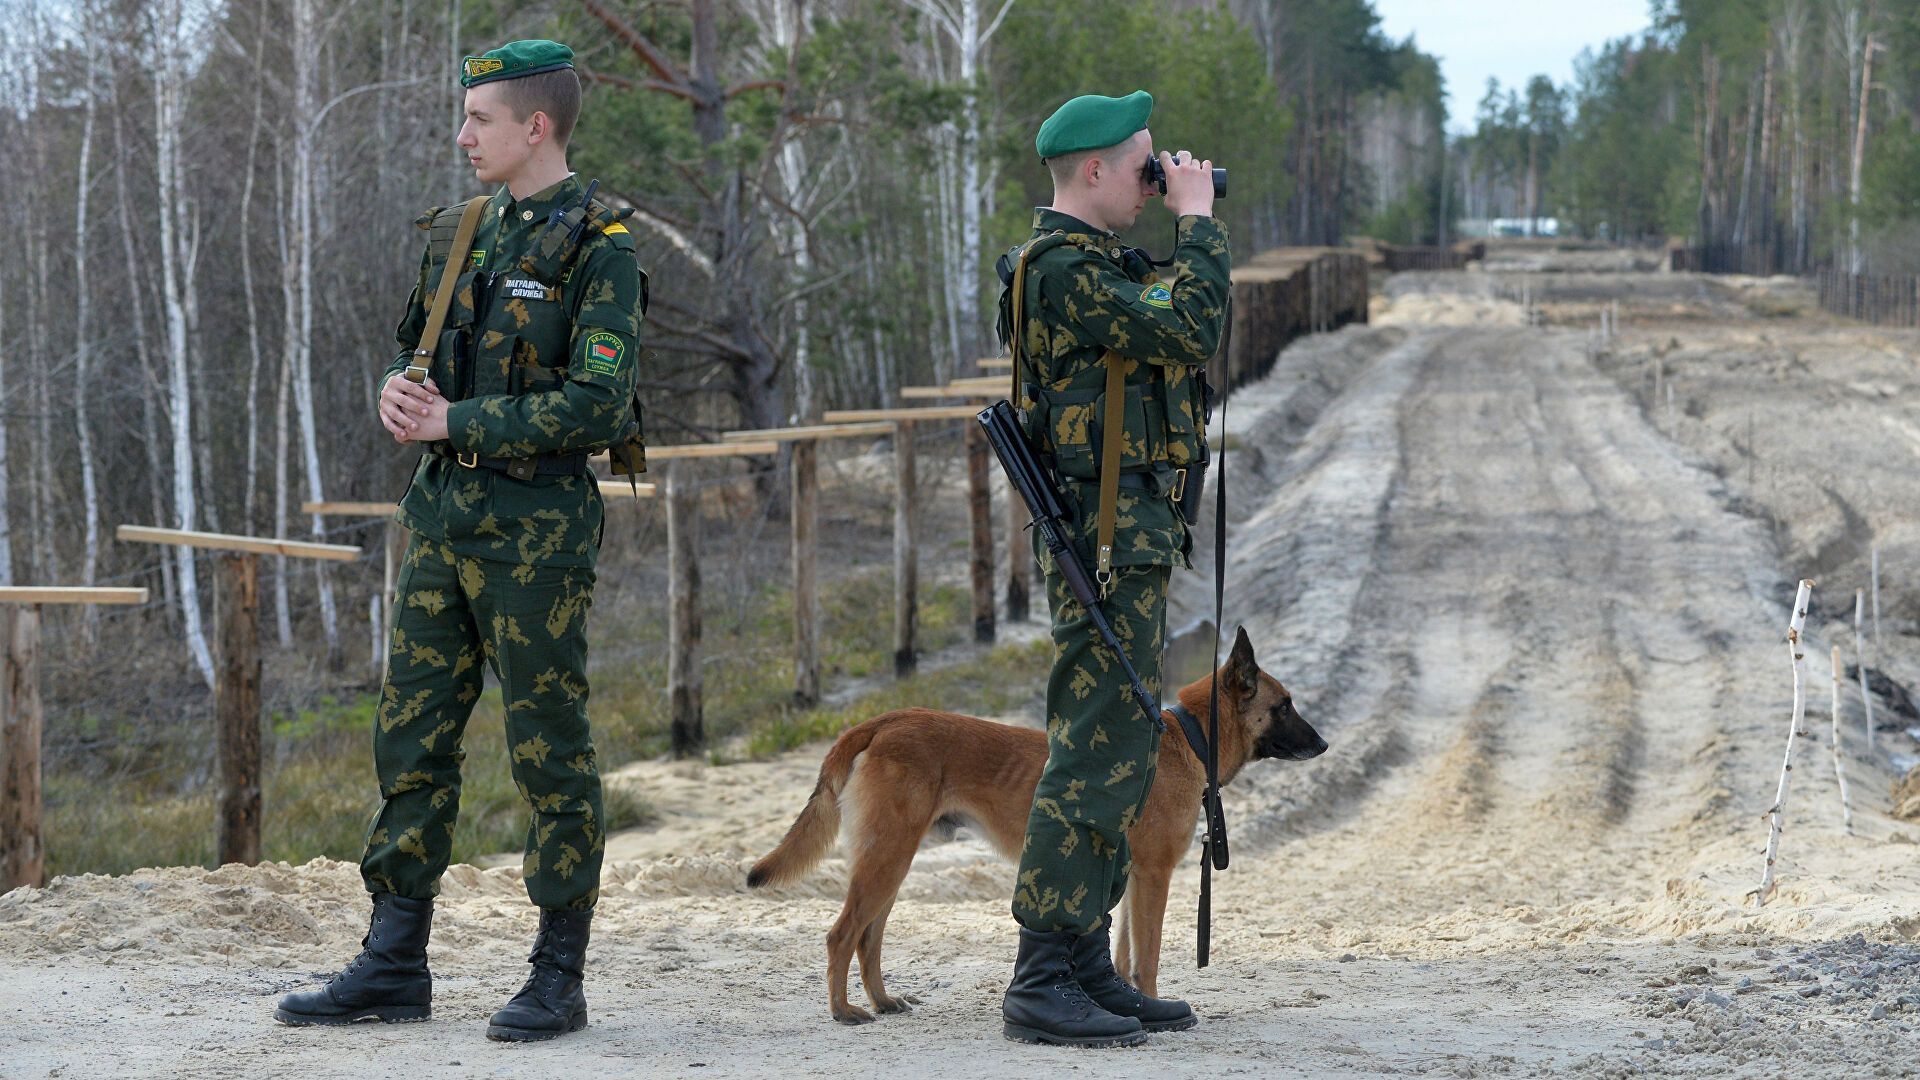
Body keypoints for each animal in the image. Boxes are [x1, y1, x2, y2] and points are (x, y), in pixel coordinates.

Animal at [741, 622, 1328, 1014]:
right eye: (1285, 705)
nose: (1324, 744)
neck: (1188, 738)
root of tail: (885, 720)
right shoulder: (1155, 876)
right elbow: (1150, 955)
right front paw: (1154, 1005)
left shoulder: (1132, 877)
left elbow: (1122, 953)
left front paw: (1127, 1001)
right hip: (886, 859)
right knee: (842, 935)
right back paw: (843, 1012)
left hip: (891, 863)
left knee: (868, 937)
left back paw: (882, 1002)